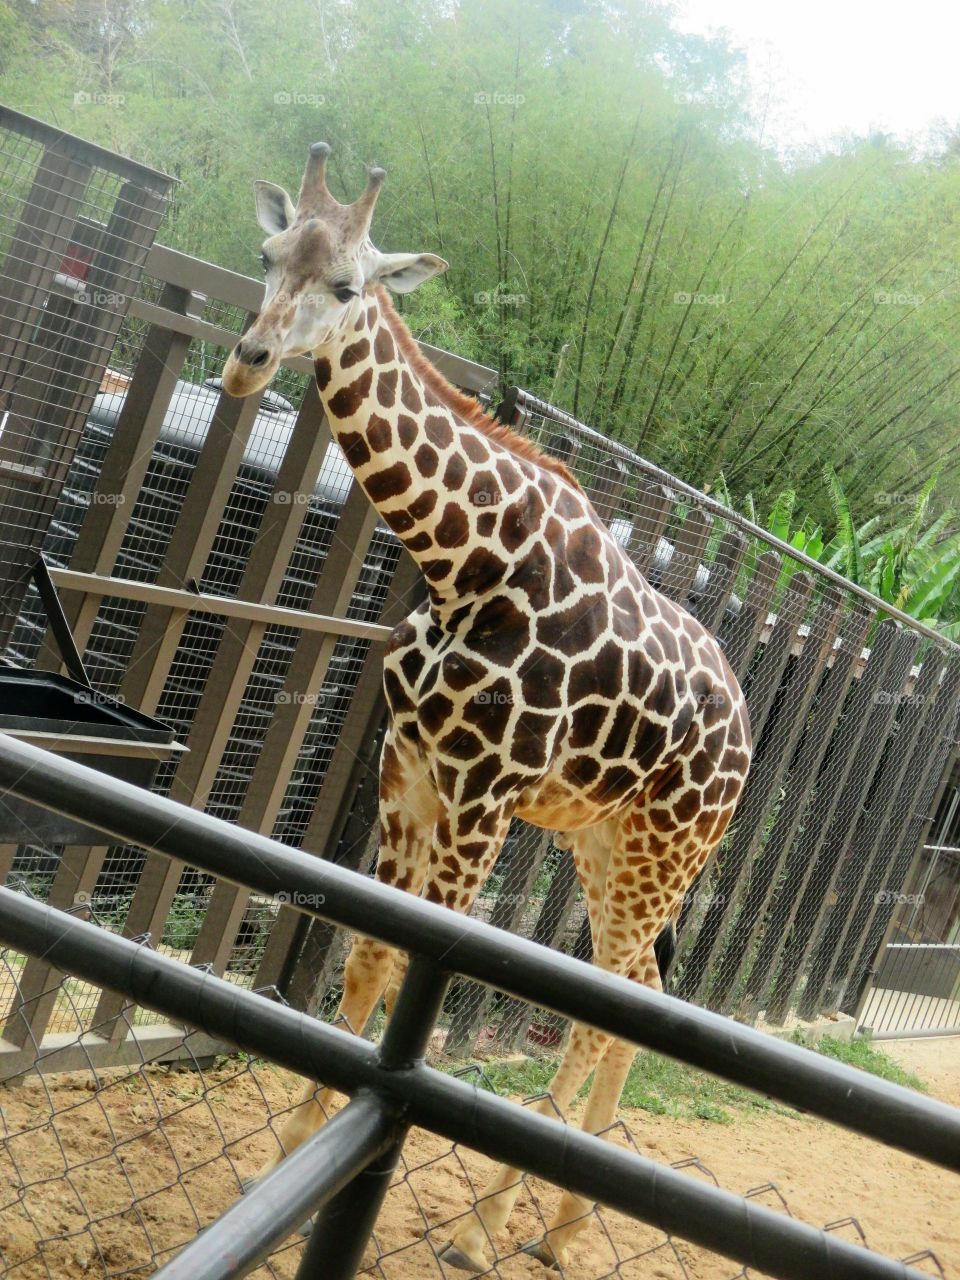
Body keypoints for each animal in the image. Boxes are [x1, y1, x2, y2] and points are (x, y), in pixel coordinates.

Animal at [221, 142, 752, 1273]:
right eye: (268, 254)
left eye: (349, 286)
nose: (247, 360)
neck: (463, 561)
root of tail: (743, 740)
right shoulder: (406, 767)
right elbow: (366, 959)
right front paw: (283, 1166)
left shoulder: (480, 799)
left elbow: (406, 960)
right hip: (602, 842)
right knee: (636, 993)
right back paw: (560, 1224)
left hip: (662, 853)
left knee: (609, 1005)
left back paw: (489, 1225)